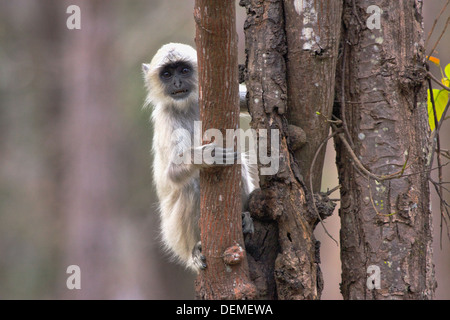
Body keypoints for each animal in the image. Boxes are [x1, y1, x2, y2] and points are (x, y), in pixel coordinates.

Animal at [142, 43, 258, 272]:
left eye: (184, 70)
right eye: (167, 74)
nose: (177, 83)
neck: (186, 106)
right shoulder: (167, 119)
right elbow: (172, 173)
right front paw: (207, 156)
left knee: (238, 165)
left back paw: (245, 222)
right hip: (172, 232)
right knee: (189, 187)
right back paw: (194, 251)